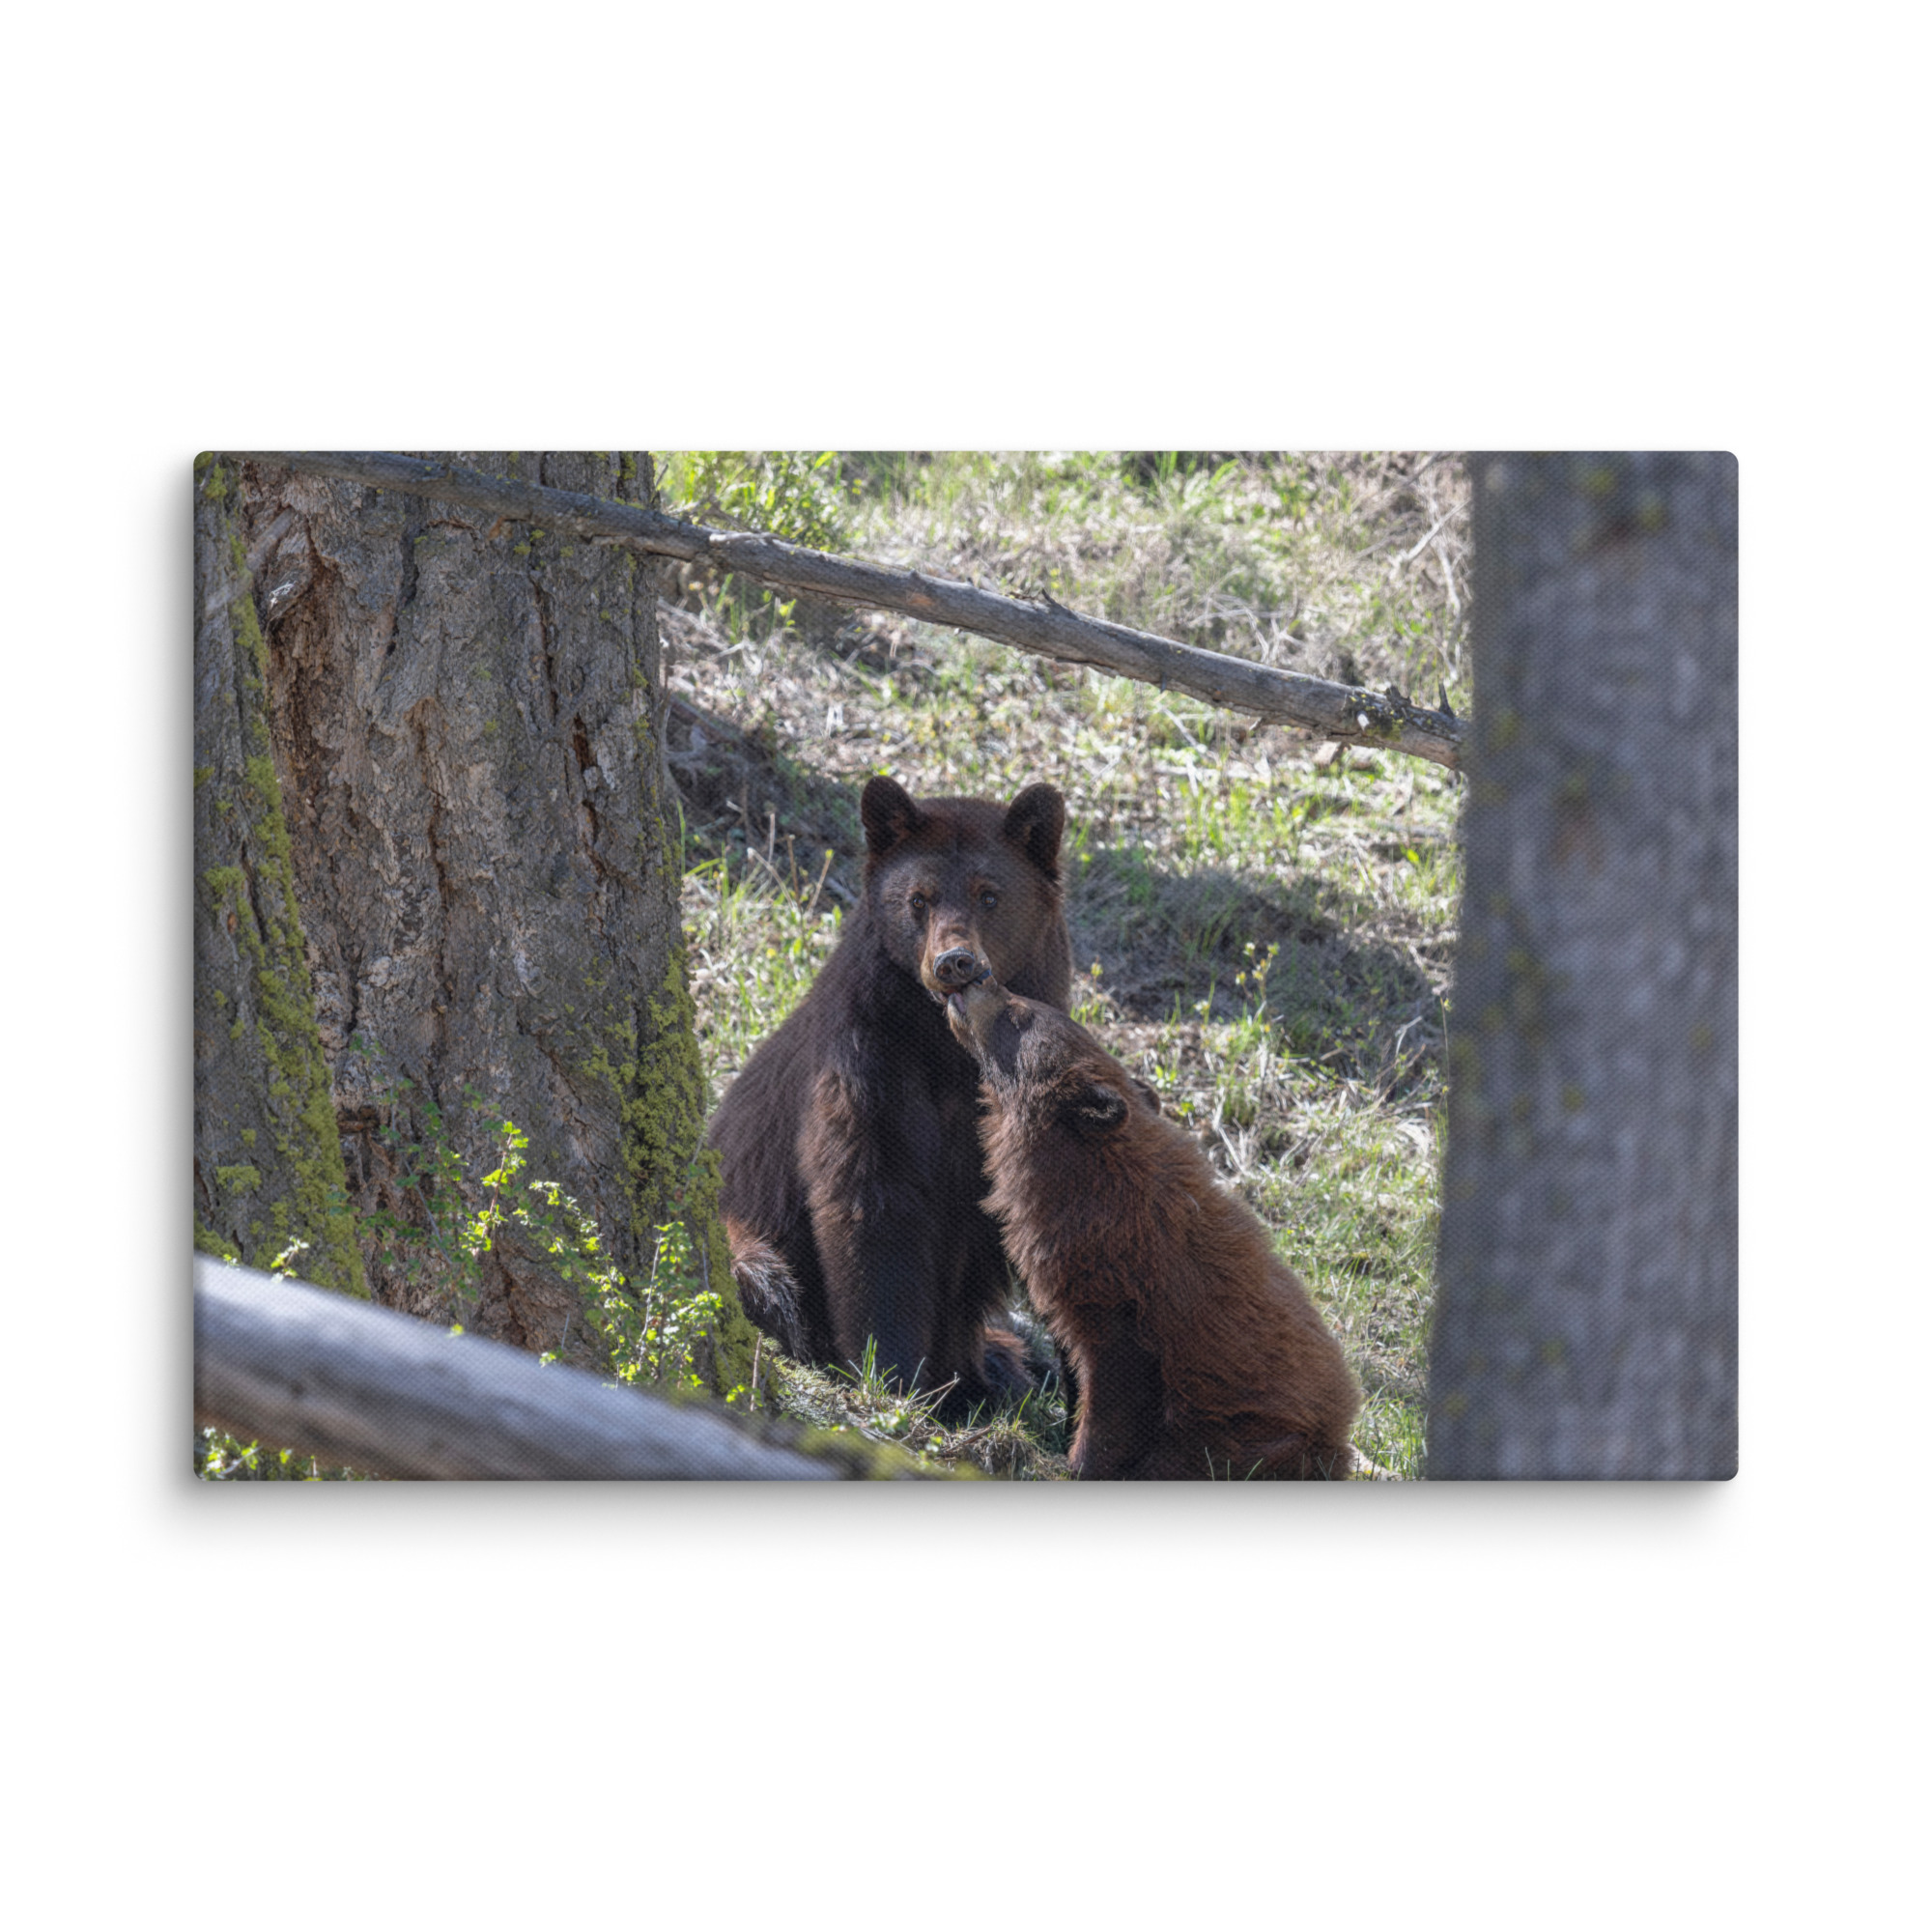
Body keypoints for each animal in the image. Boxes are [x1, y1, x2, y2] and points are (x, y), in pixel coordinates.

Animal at [707, 774, 1072, 1420]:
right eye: (919, 899)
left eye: (989, 895)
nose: (955, 962)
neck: (947, 1048)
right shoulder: (867, 1063)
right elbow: (873, 1204)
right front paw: (895, 1376)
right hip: (743, 1235)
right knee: (766, 1279)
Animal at [944, 972, 1361, 1479]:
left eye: (1019, 1014)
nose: (979, 978)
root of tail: (1338, 1442)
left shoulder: (1124, 1298)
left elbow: (1114, 1390)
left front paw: (1079, 1461)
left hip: (1253, 1439)